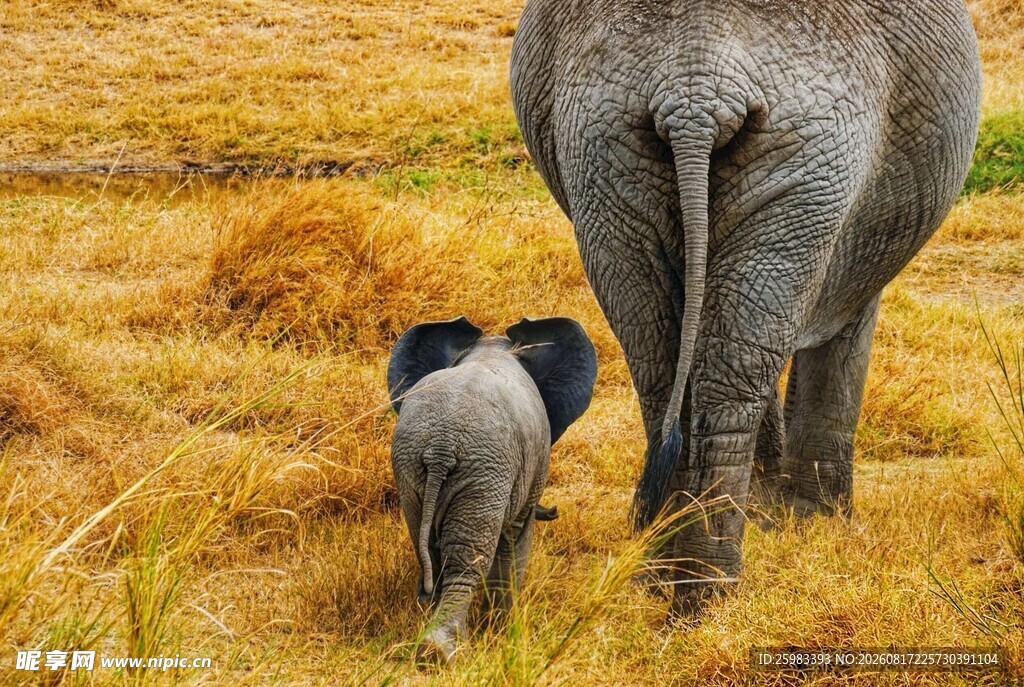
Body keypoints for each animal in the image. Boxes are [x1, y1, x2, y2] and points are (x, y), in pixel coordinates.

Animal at [387, 316, 597, 662]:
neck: (491, 349)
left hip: (413, 468)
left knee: (427, 548)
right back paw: (442, 651)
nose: (555, 511)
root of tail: (442, 447)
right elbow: (516, 538)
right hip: (484, 475)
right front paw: (503, 631)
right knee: (467, 559)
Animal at [511, 0, 981, 616]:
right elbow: (844, 328)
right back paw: (710, 591)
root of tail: (694, 89)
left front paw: (778, 514)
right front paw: (817, 523)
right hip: (811, 155)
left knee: (665, 359)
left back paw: (667, 577)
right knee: (730, 372)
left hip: (607, 153)